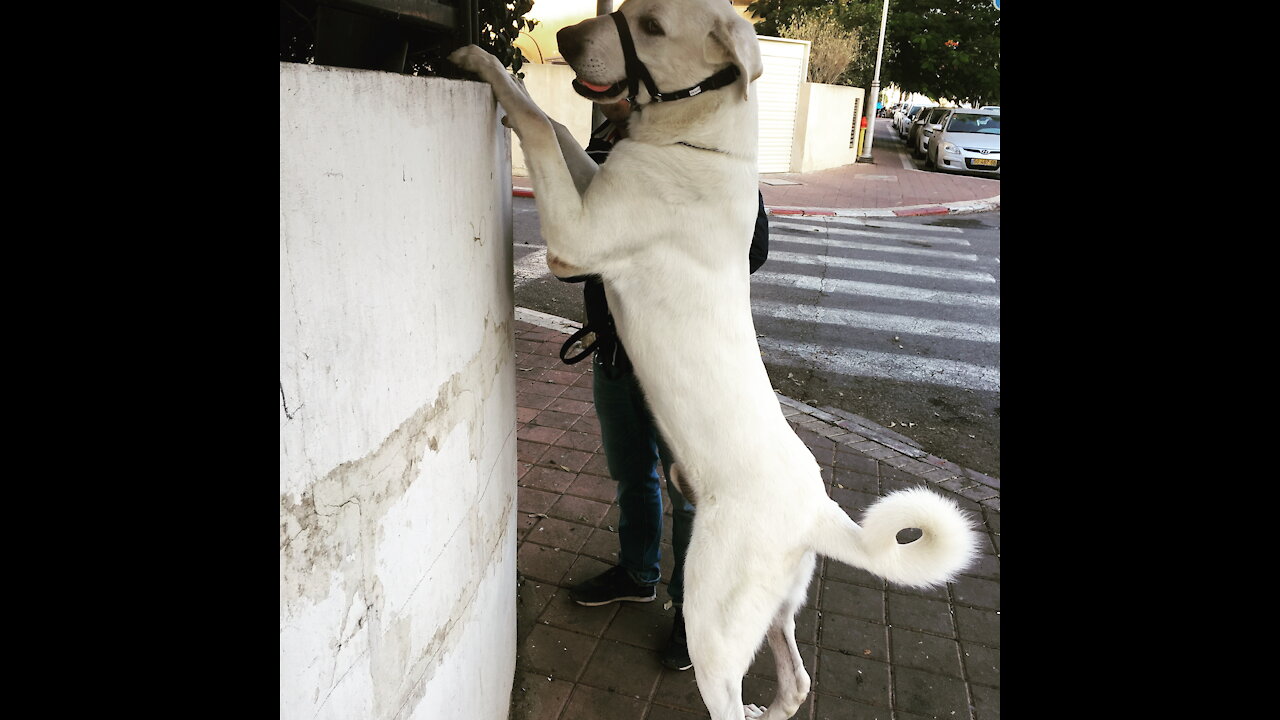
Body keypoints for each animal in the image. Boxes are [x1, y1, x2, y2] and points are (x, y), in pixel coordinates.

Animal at [445, 2, 972, 712]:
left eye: (651, 26)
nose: (563, 38)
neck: (701, 143)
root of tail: (820, 514)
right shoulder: (596, 186)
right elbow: (558, 127)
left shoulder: (576, 241)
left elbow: (535, 121)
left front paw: (486, 65)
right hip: (772, 610)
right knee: (797, 681)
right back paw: (772, 705)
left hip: (713, 619)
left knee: (730, 691)